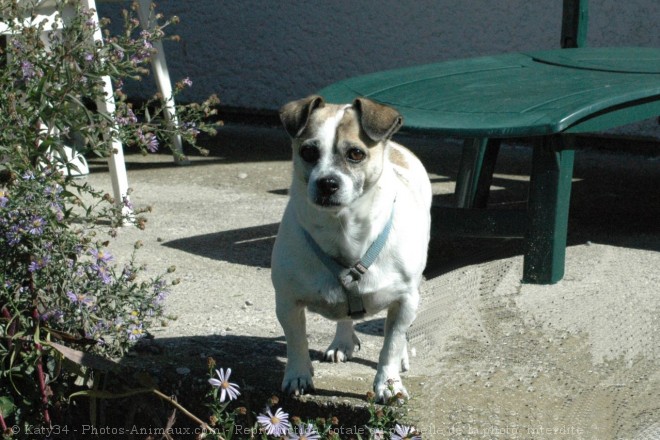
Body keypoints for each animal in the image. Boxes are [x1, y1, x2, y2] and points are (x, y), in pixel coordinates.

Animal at [270, 94, 430, 400]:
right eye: (308, 152)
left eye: (356, 154)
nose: (327, 183)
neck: (343, 230)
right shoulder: (287, 302)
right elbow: (296, 341)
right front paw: (298, 375)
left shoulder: (405, 301)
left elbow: (391, 344)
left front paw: (388, 383)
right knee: (344, 317)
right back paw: (341, 342)